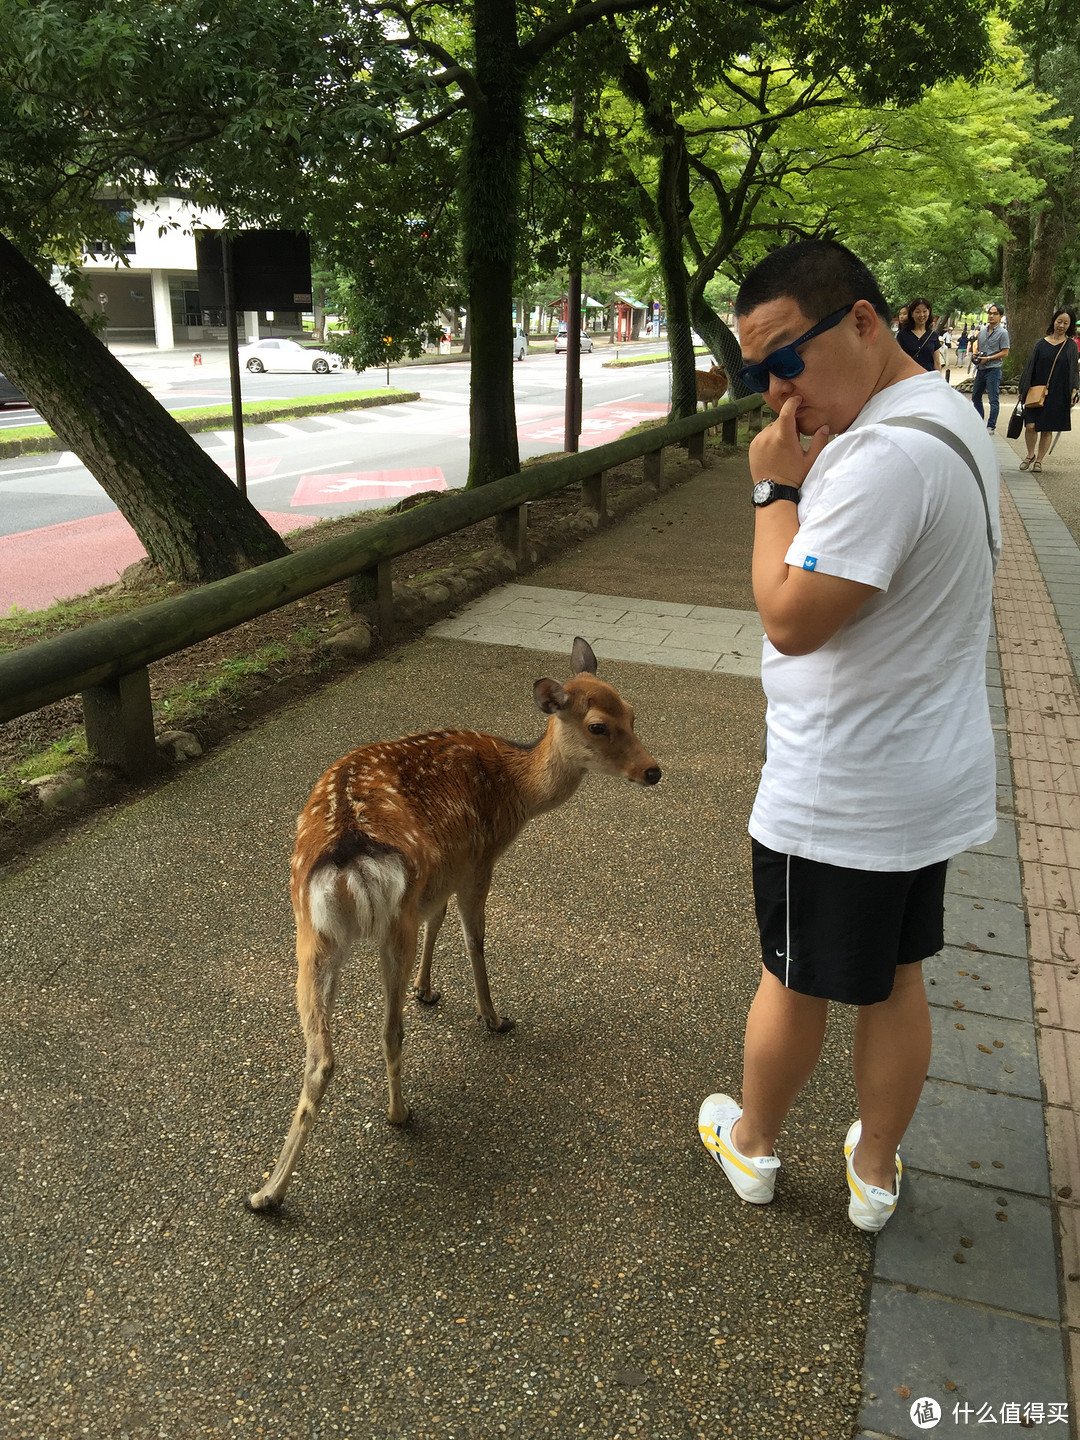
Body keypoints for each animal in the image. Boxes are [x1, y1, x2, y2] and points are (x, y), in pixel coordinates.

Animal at [249, 636, 665, 1209]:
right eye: (600, 725)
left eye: (633, 712)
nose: (653, 770)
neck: (516, 791)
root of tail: (347, 861)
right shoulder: (478, 859)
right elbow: (475, 938)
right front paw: (494, 1017)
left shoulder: (440, 876)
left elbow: (439, 922)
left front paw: (428, 990)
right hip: (390, 922)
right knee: (389, 1028)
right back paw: (399, 1114)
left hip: (311, 934)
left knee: (319, 1055)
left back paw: (266, 1193)